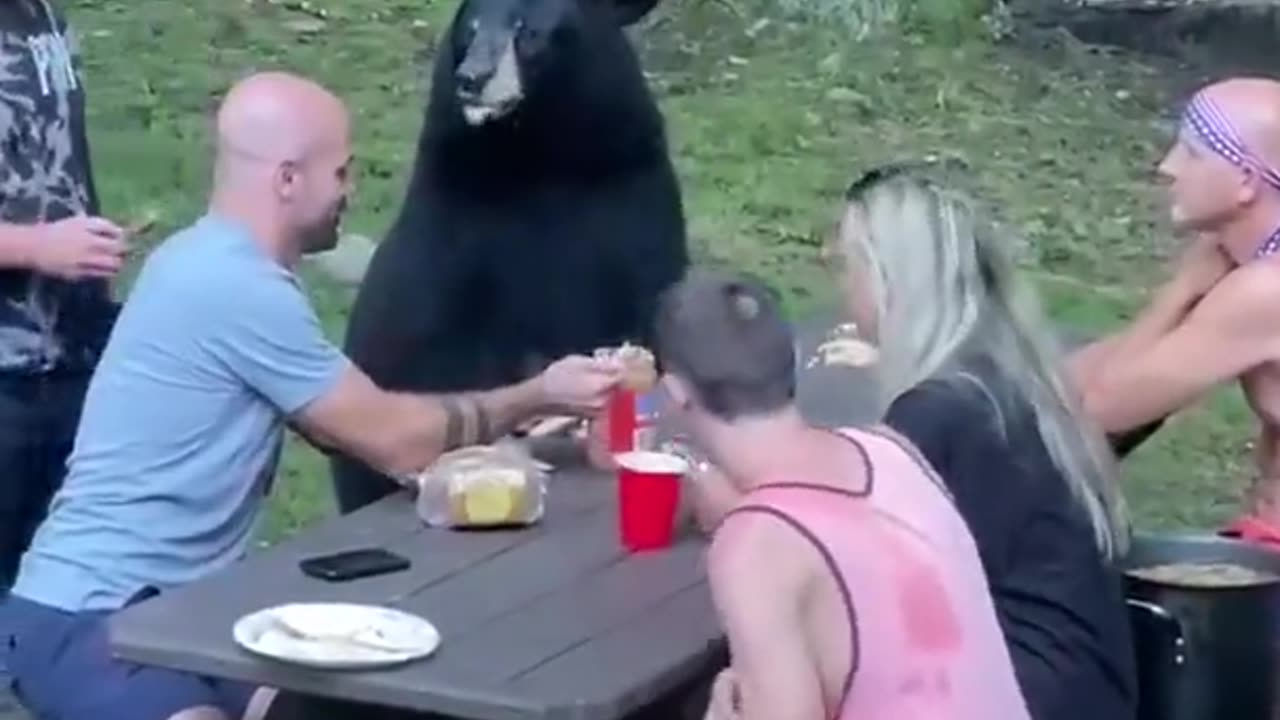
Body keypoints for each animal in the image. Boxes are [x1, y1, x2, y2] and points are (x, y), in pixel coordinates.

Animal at [330, 0, 691, 509]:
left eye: (529, 31)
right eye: (471, 26)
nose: (472, 77)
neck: (537, 157)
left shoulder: (635, 194)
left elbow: (651, 294)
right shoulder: (453, 226)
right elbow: (436, 340)